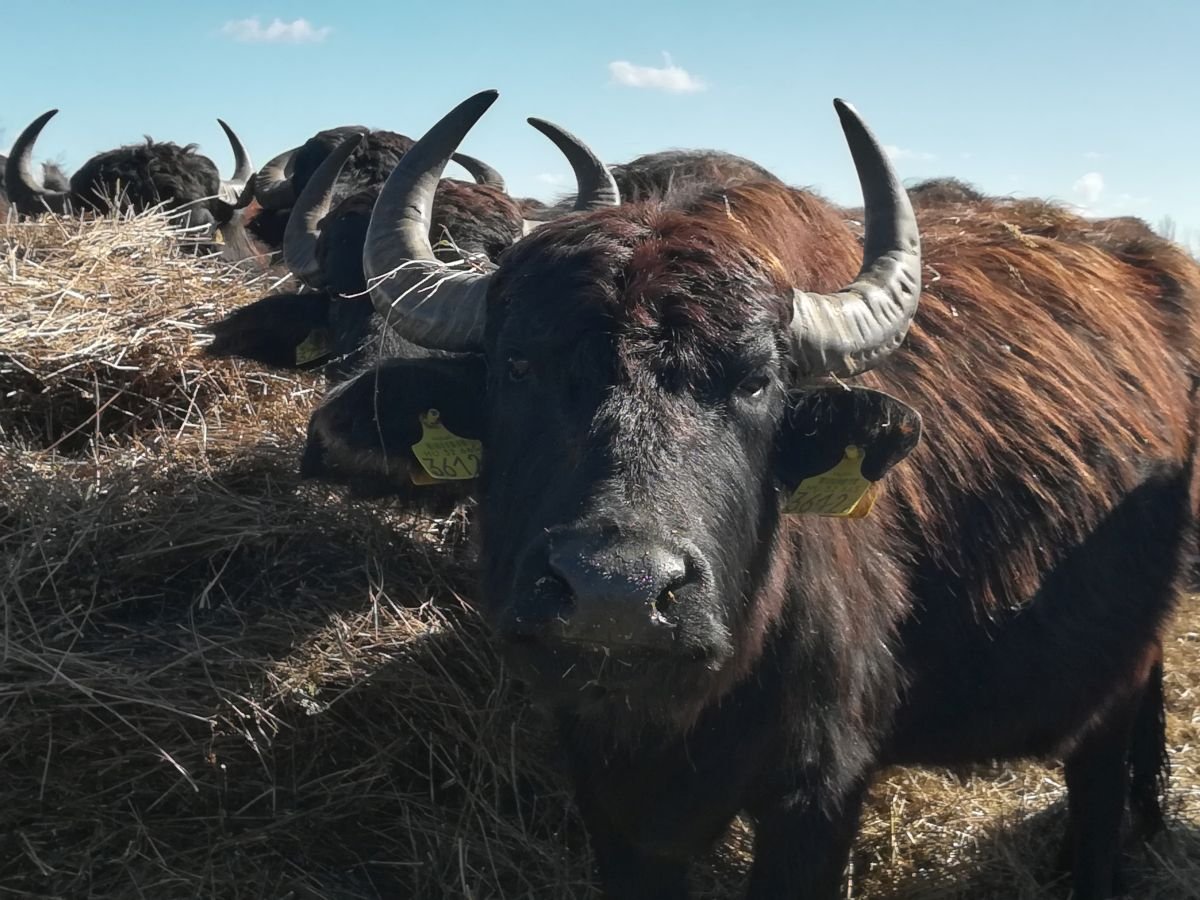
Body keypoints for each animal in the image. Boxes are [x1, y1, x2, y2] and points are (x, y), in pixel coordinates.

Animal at [312, 91, 1200, 900]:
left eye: (756, 383)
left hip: (1115, 675)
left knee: (1099, 780)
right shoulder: (609, 792)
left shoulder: (818, 790)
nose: (615, 595)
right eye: (516, 366)